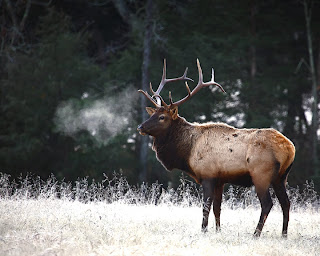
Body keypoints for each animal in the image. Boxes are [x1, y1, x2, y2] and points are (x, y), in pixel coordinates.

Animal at [137, 59, 296, 237]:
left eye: (162, 117)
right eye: (152, 114)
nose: (140, 127)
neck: (187, 151)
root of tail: (290, 148)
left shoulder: (208, 175)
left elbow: (206, 207)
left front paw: (204, 230)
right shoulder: (220, 180)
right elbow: (217, 208)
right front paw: (218, 231)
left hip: (261, 174)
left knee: (267, 203)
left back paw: (256, 234)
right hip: (281, 177)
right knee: (286, 203)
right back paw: (284, 235)